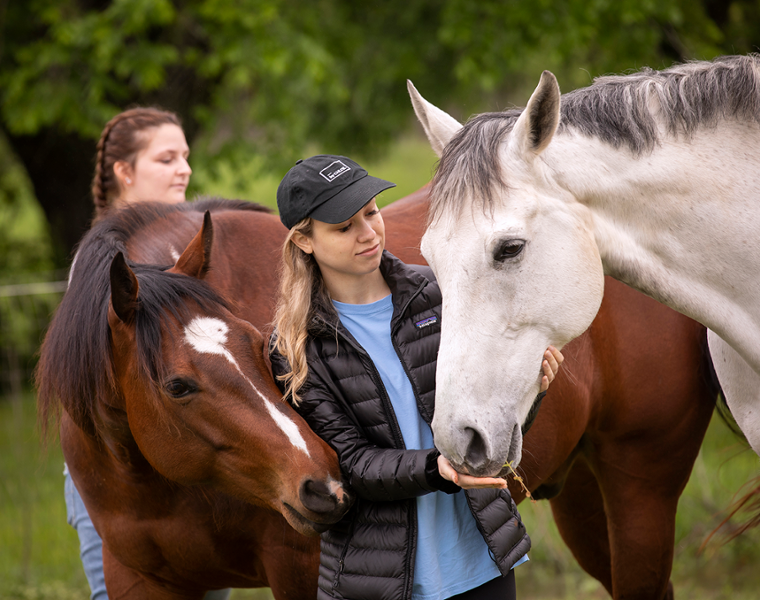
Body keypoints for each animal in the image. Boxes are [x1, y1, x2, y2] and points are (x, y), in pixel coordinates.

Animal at [43, 195, 720, 596]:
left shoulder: (300, 570)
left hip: (639, 487)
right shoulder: (141, 581)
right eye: (178, 385)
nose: (322, 484)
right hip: (582, 496)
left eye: (259, 347)